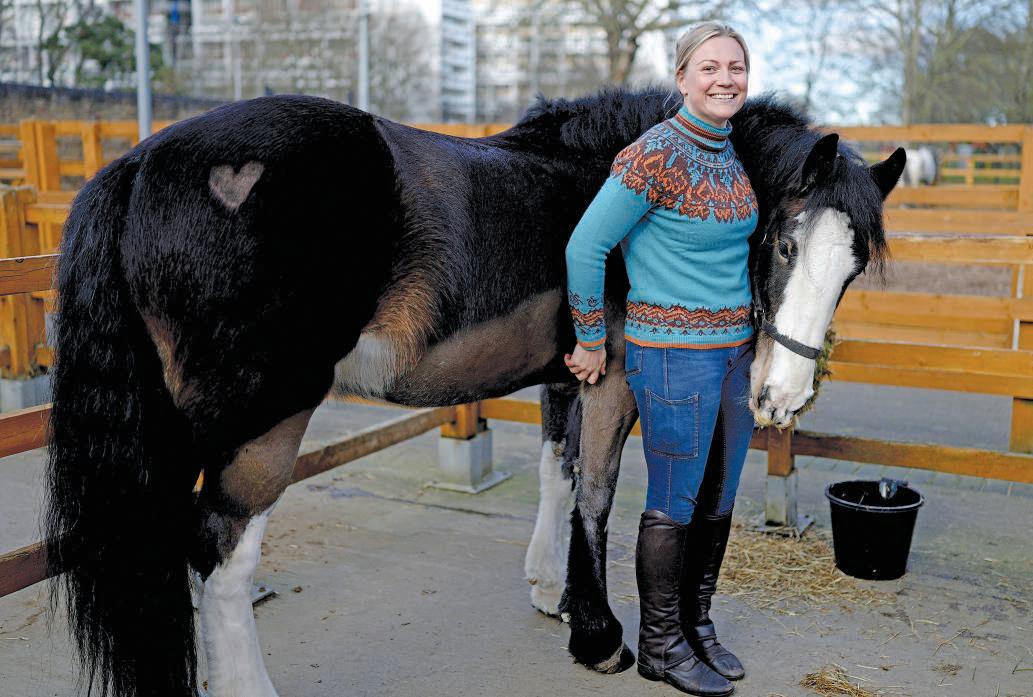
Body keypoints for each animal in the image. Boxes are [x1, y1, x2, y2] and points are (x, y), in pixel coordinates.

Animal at [42, 85, 904, 697]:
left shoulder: (568, 377)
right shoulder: (615, 381)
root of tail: (138, 164)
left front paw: (552, 591)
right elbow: (596, 490)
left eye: (852, 266)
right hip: (258, 424)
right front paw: (598, 637)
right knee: (217, 554)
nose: (783, 393)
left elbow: (559, 474)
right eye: (783, 242)